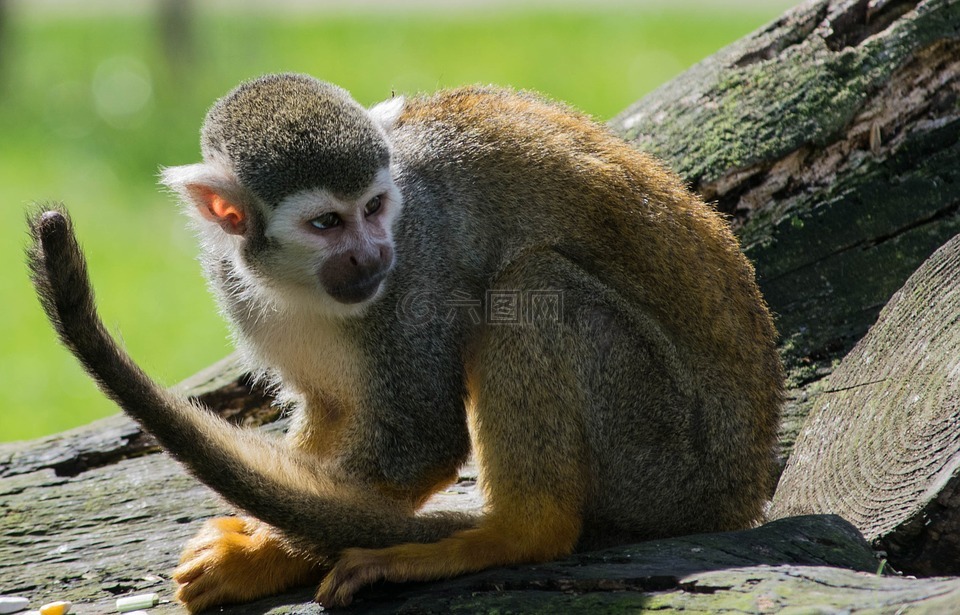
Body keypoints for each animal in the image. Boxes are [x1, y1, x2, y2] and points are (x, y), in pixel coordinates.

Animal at [28, 72, 780, 612]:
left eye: (375, 207)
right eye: (327, 223)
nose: (371, 255)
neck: (298, 284)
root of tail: (740, 497)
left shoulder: (418, 268)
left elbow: (420, 439)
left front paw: (266, 555)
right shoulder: (233, 278)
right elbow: (331, 410)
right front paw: (267, 541)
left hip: (662, 456)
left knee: (531, 288)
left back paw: (514, 534)